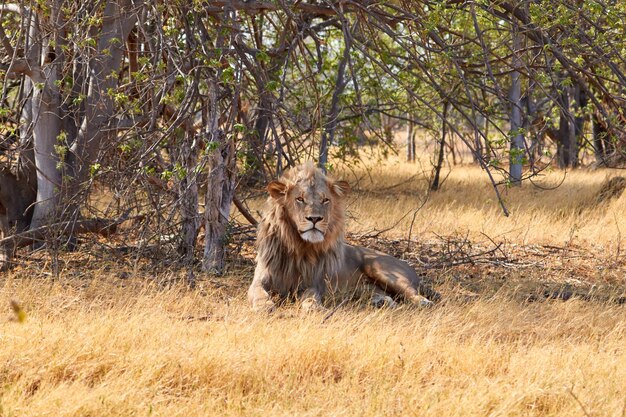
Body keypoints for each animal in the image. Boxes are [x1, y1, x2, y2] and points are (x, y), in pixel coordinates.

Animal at [249, 162, 438, 312]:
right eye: (300, 199)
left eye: (325, 200)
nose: (315, 219)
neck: (297, 246)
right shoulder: (260, 279)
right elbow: (258, 293)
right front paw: (264, 307)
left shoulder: (313, 283)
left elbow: (311, 297)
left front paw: (315, 308)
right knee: (386, 296)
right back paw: (381, 302)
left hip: (381, 269)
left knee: (413, 293)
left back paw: (423, 303)